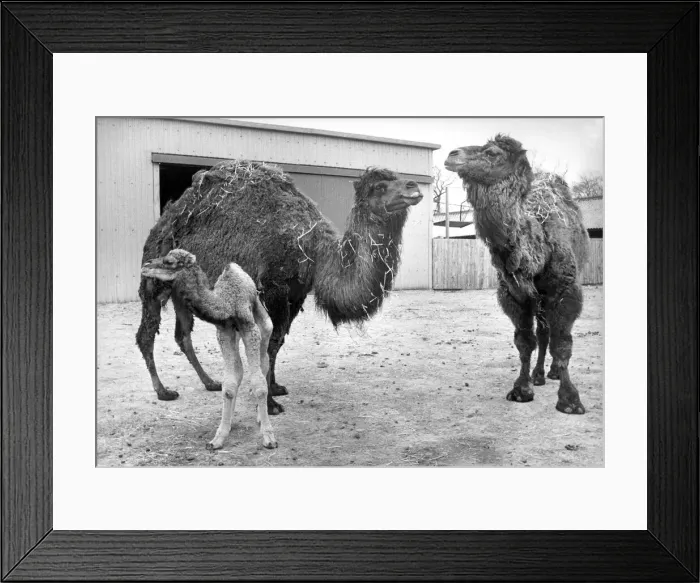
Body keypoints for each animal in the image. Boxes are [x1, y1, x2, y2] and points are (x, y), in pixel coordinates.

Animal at [137, 160, 423, 414]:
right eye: (380, 187)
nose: (413, 186)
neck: (312, 249)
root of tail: (162, 221)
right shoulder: (275, 288)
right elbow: (270, 341)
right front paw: (270, 403)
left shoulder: (296, 294)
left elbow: (279, 341)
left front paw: (274, 387)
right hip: (154, 280)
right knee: (147, 332)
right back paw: (163, 390)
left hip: (181, 288)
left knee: (182, 335)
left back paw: (210, 382)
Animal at [141, 249, 277, 450]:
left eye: (169, 261)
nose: (146, 265)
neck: (227, 304)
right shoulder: (224, 331)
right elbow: (229, 384)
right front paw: (218, 437)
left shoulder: (249, 329)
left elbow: (259, 384)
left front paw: (269, 437)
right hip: (234, 336)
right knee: (239, 370)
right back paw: (231, 420)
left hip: (263, 325)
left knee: (264, 361)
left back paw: (260, 418)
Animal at [445, 135, 590, 414]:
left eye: (492, 153)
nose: (451, 154)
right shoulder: (514, 296)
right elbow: (524, 342)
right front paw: (522, 389)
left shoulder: (566, 292)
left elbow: (562, 343)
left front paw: (570, 400)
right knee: (543, 333)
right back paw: (539, 375)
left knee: (552, 333)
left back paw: (553, 373)